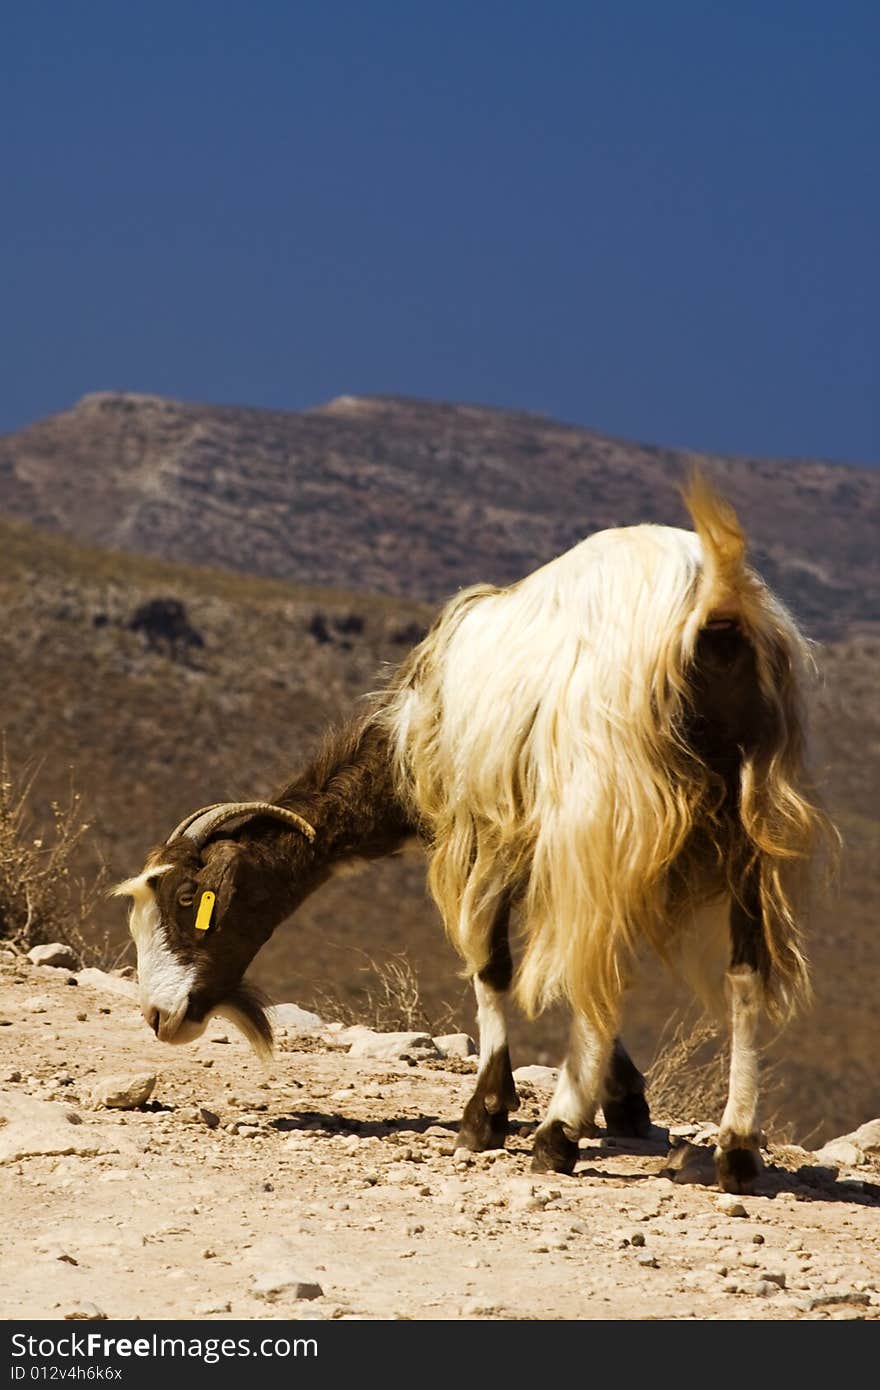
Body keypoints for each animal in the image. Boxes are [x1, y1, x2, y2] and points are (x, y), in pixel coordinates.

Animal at [114, 478, 828, 1195]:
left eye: (187, 899)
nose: (161, 1019)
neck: (409, 731)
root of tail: (712, 606)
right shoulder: (536, 848)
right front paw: (622, 1097)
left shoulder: (480, 837)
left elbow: (493, 965)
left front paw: (486, 1114)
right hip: (745, 818)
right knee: (741, 970)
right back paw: (736, 1150)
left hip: (599, 803)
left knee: (600, 957)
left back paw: (556, 1135)